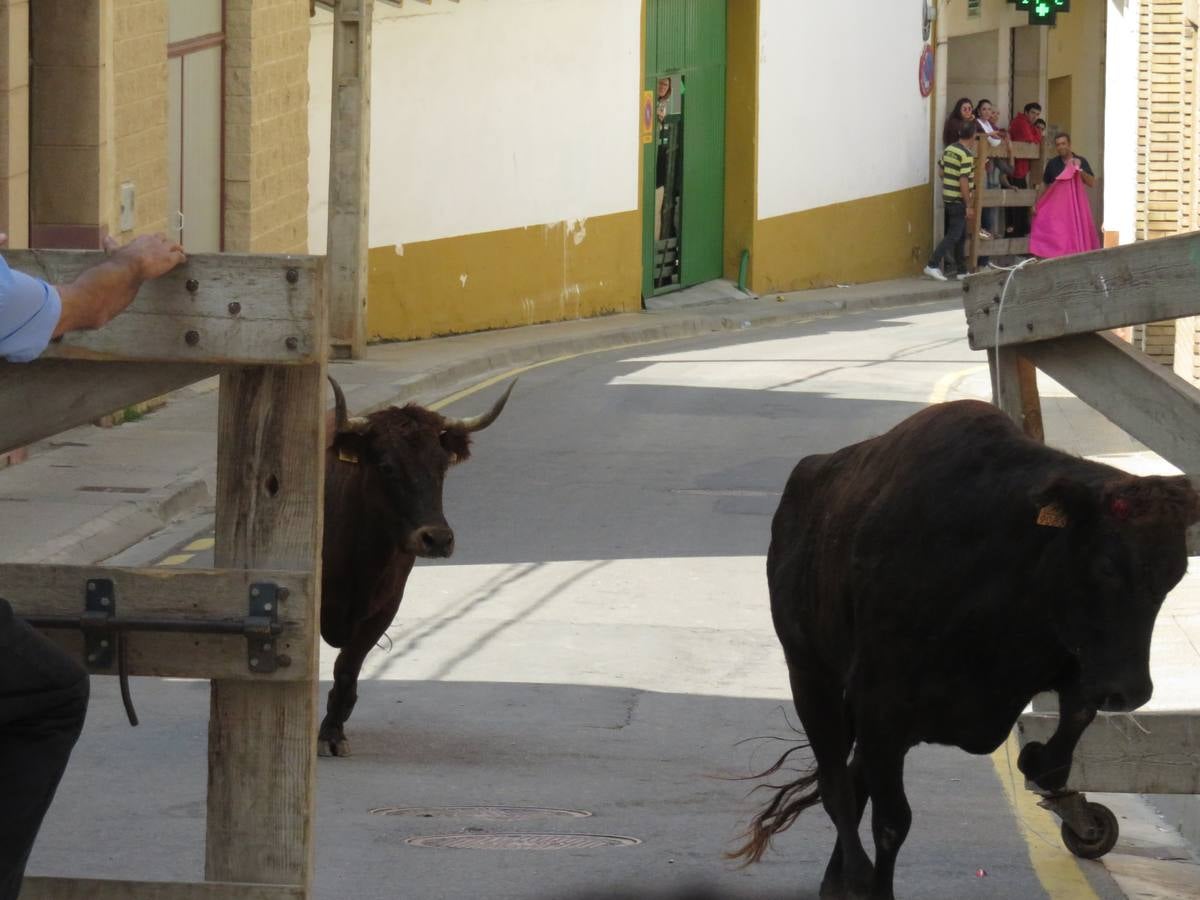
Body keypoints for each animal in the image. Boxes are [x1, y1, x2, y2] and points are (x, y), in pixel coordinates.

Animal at [316, 376, 513, 758]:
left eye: (442, 466)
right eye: (386, 466)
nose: (437, 539)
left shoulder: (385, 607)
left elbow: (347, 667)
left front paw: (332, 733)